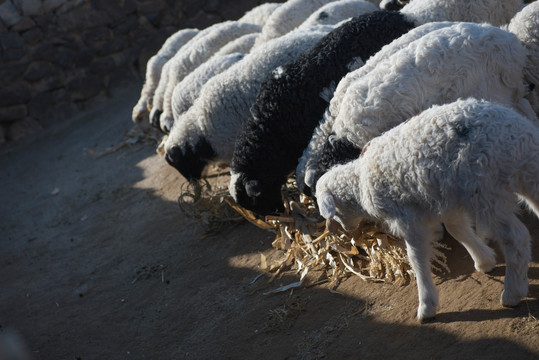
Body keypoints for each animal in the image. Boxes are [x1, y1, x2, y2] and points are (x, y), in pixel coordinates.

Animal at [316, 97, 539, 320]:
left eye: (334, 212)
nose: (346, 230)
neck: (359, 183)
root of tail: (511, 134)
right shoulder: (447, 203)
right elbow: (458, 230)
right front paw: (484, 261)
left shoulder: (408, 217)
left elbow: (416, 258)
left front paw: (426, 306)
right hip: (524, 173)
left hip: (485, 192)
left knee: (516, 238)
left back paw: (512, 293)